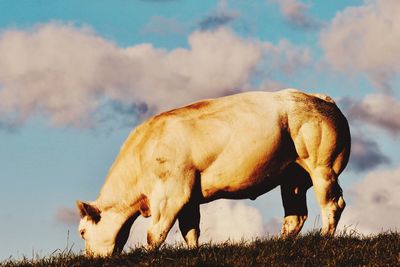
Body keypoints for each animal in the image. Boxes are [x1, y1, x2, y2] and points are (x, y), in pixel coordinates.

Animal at [76, 89, 350, 258]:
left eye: (82, 232)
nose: (90, 258)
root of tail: (319, 97)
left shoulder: (171, 194)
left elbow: (155, 233)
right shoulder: (188, 198)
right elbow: (190, 230)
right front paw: (192, 252)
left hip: (322, 167)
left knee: (332, 204)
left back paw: (325, 238)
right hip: (292, 178)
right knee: (295, 216)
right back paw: (282, 244)